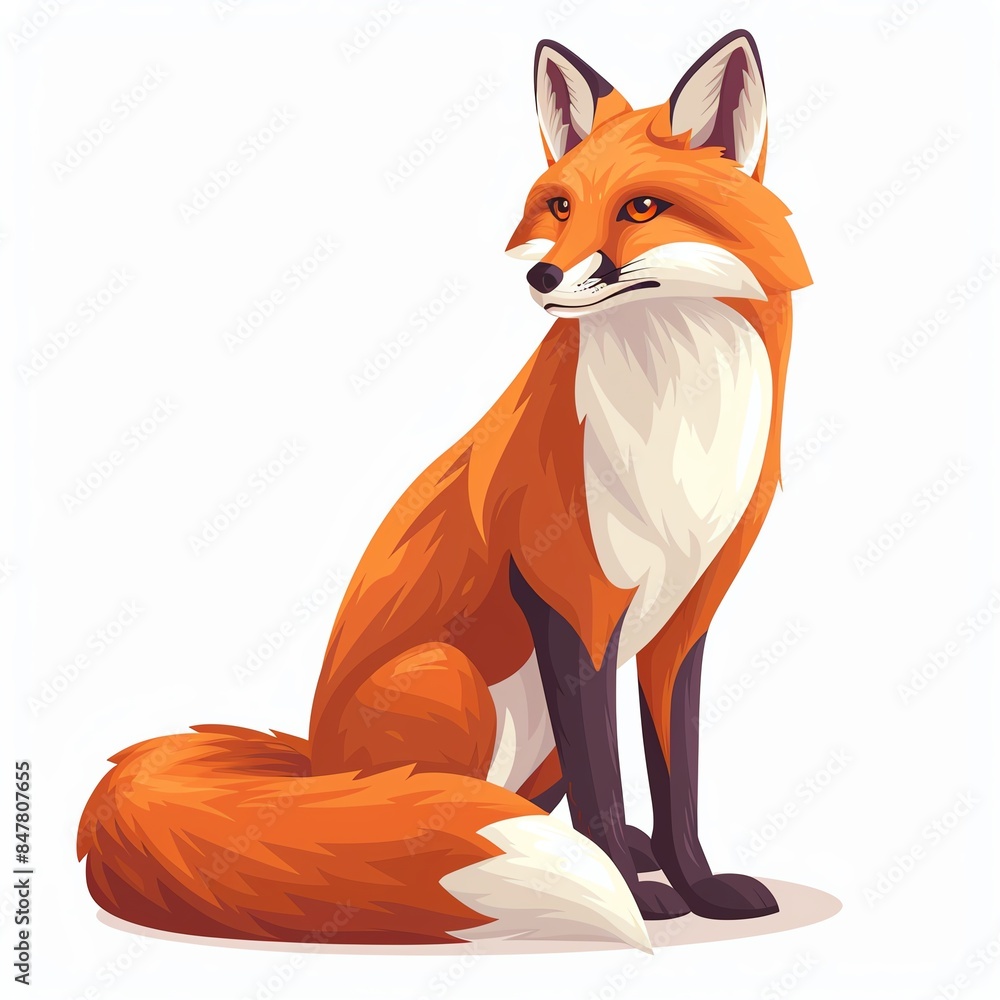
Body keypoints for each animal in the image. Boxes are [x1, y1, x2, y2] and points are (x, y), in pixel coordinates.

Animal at [78, 30, 811, 953]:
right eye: (560, 206)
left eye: (642, 207)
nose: (542, 278)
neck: (677, 430)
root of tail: (313, 767)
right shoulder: (570, 601)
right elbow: (605, 783)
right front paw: (637, 894)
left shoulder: (683, 621)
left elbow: (679, 782)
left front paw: (698, 886)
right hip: (448, 674)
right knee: (436, 813)